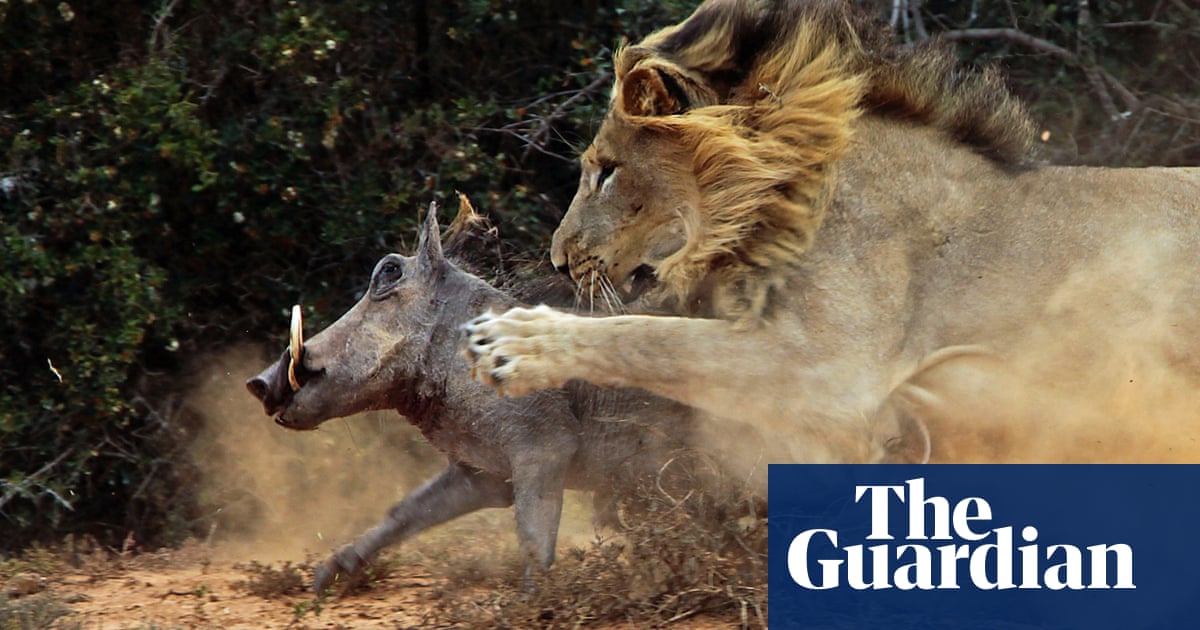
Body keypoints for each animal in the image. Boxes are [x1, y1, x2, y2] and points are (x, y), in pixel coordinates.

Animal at [466, 0, 1200, 463]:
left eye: (606, 171)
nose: (558, 262)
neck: (781, 201)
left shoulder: (831, 368)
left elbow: (650, 338)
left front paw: (512, 342)